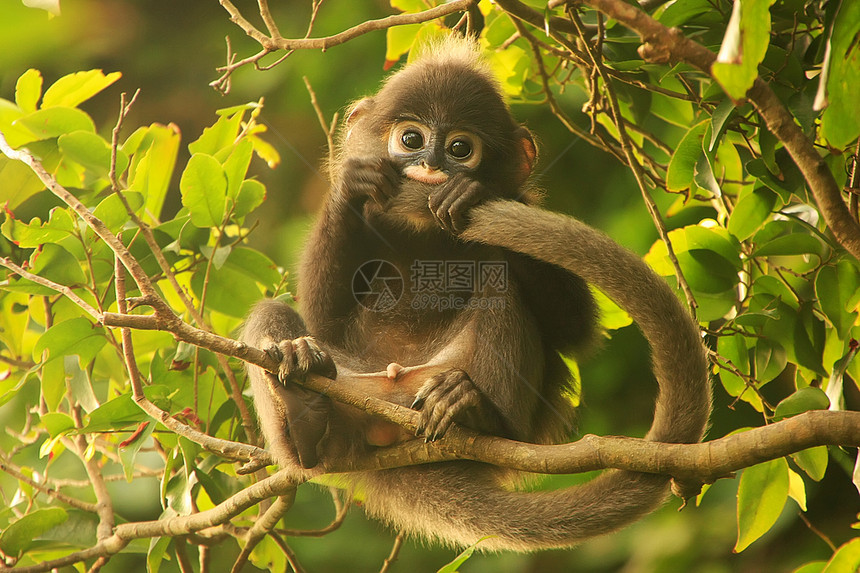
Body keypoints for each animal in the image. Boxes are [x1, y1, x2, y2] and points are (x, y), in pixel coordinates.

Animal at [239, 35, 708, 548]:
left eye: (460, 148)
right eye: (411, 139)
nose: (431, 165)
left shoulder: (522, 202)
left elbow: (574, 330)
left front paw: (470, 195)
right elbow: (325, 318)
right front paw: (353, 186)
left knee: (503, 294)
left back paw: (473, 410)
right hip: (353, 392)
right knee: (275, 320)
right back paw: (303, 405)